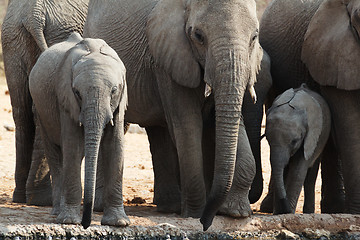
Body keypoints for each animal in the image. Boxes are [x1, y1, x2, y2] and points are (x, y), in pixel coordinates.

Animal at [1, 0, 88, 206]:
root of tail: (33, 14)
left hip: (12, 37)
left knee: (21, 110)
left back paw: (21, 196)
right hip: (57, 32)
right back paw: (41, 199)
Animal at [28, 32, 129, 229]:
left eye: (114, 91)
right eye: (77, 93)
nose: (86, 224)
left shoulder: (120, 101)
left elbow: (116, 146)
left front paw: (119, 223)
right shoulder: (64, 98)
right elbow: (72, 146)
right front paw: (69, 221)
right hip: (41, 111)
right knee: (55, 153)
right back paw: (57, 212)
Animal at [84, 0, 262, 230]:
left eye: (254, 37)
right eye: (198, 36)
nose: (207, 222)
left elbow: (229, 121)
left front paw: (237, 213)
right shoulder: (168, 59)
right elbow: (187, 126)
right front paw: (195, 214)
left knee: (157, 130)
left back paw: (169, 207)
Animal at [262, 84, 330, 214]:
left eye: (295, 141)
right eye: (268, 139)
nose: (286, 210)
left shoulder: (310, 139)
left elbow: (297, 171)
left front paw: (288, 213)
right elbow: (282, 170)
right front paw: (278, 213)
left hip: (321, 140)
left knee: (310, 176)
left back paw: (308, 212)